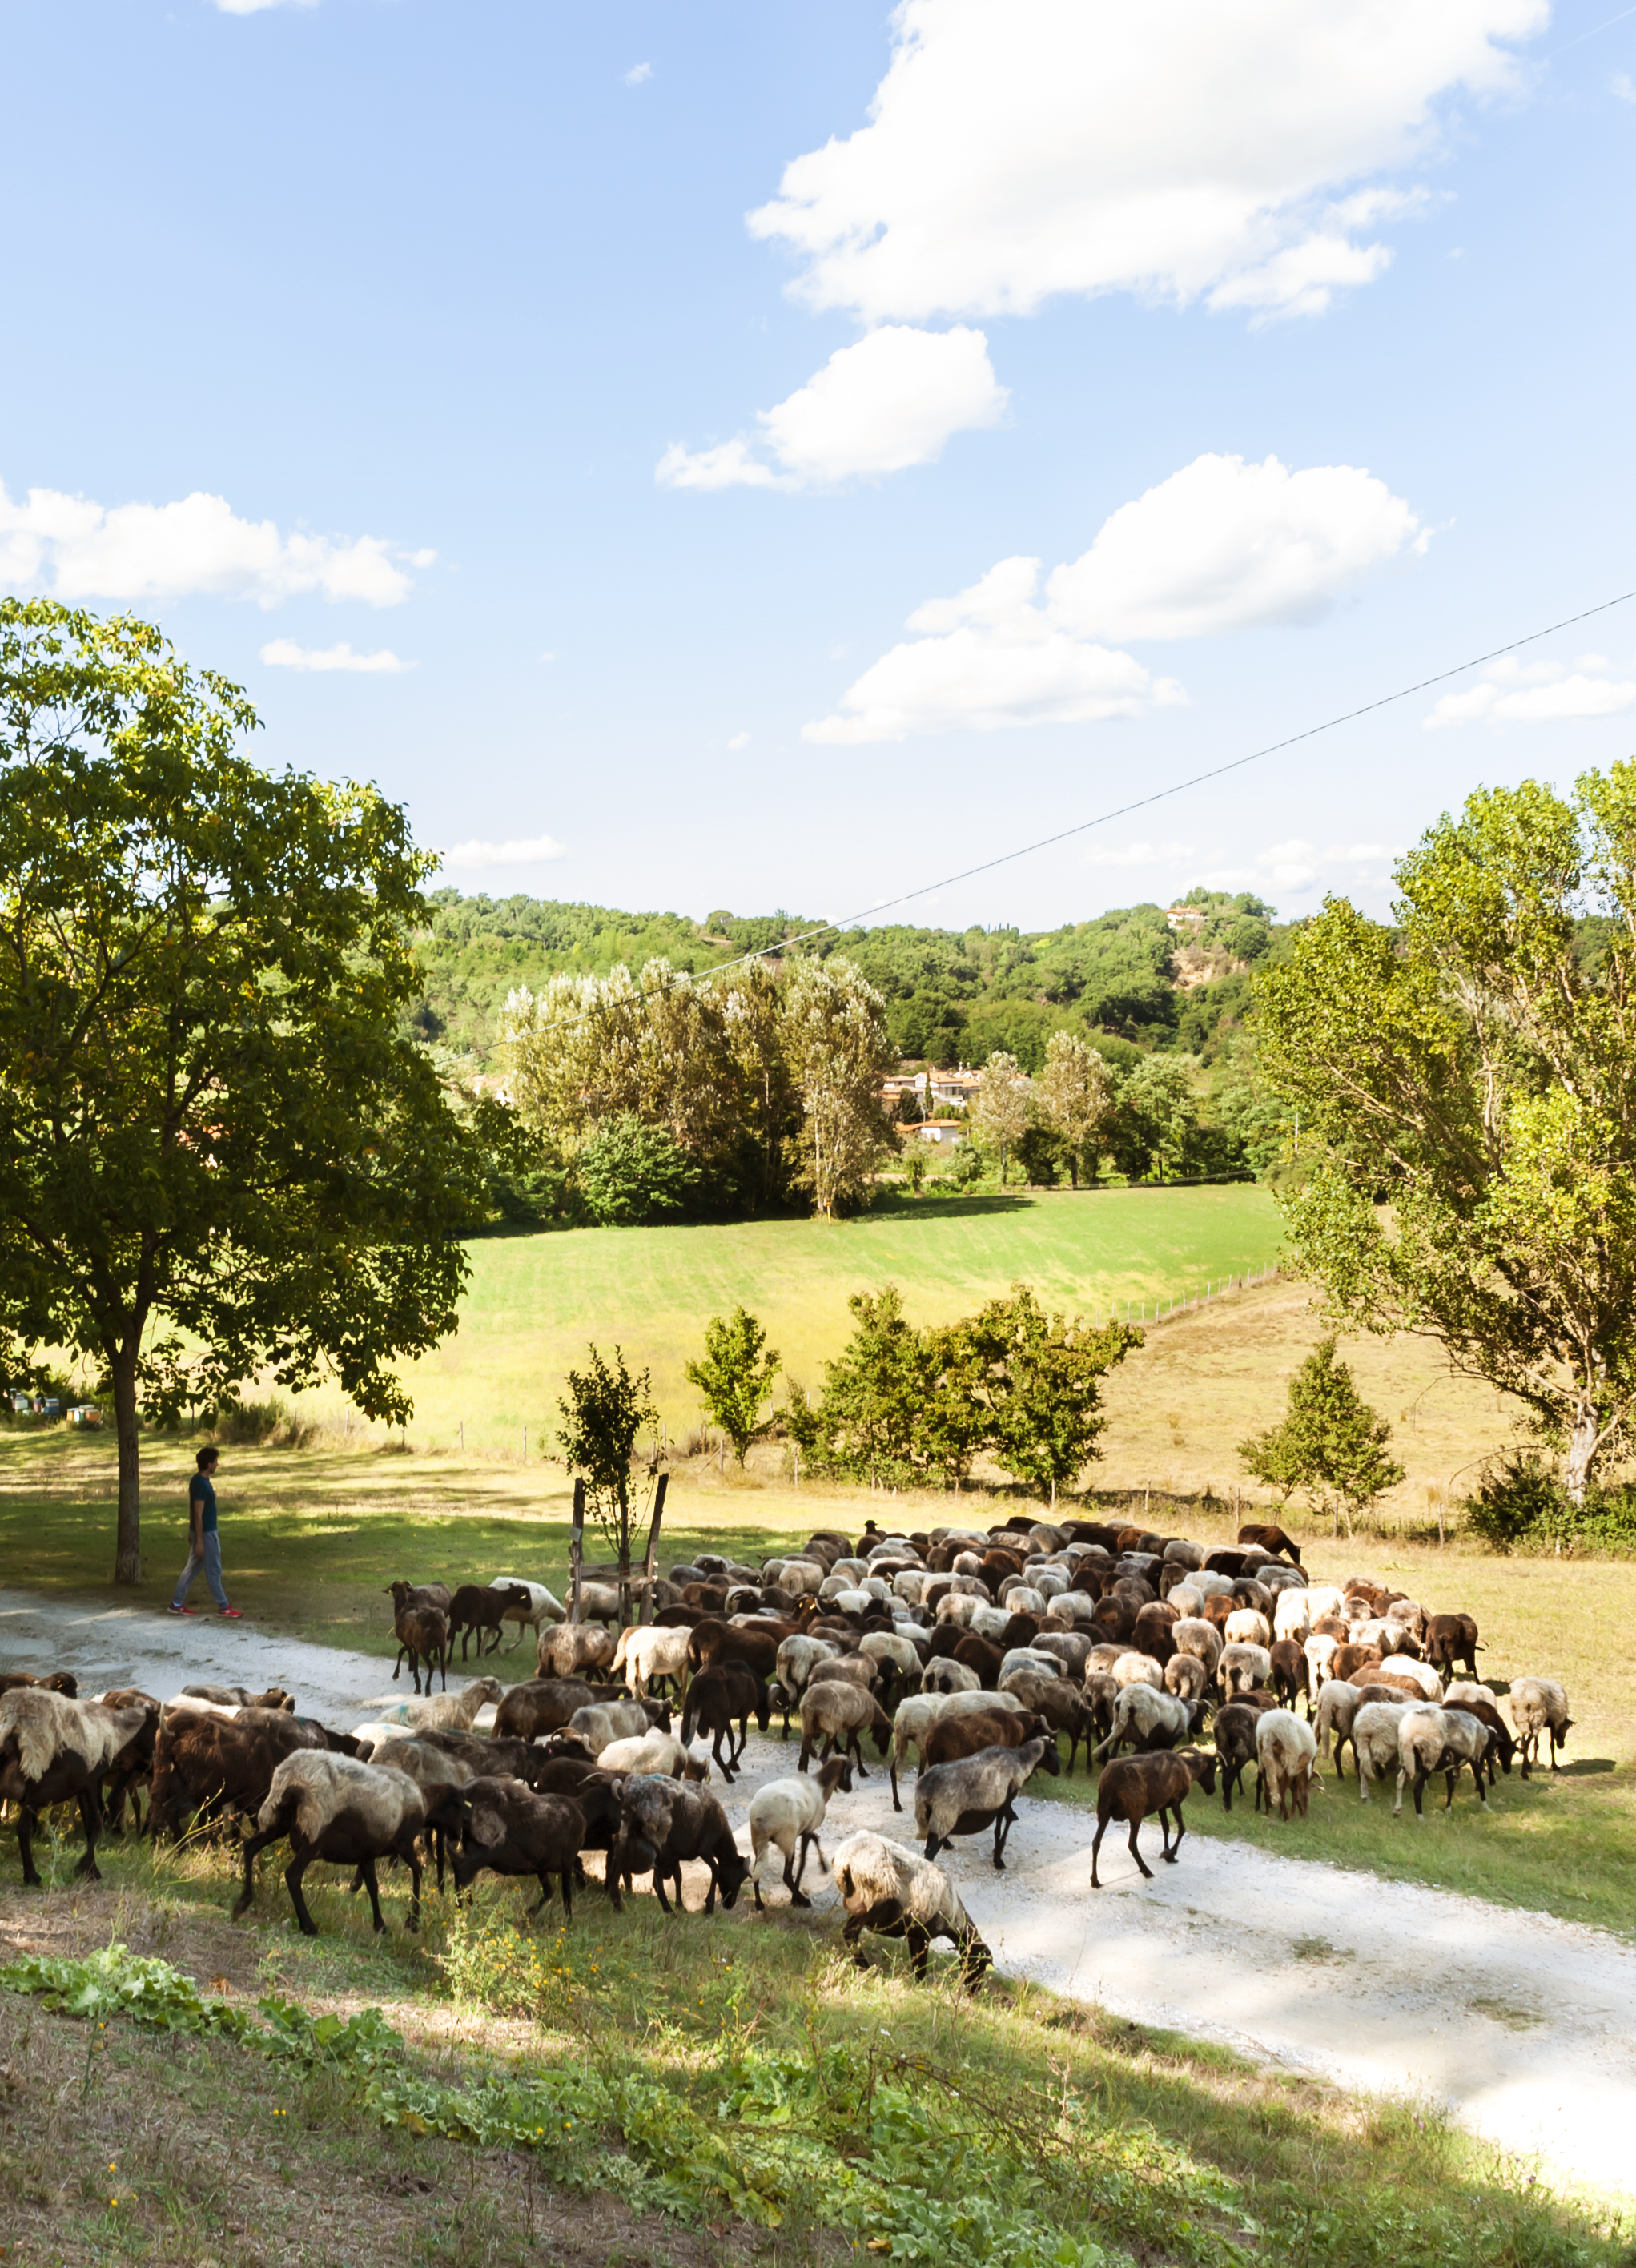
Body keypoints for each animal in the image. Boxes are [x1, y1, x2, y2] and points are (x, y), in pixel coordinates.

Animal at [749, 1759, 853, 1904]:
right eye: (850, 1772)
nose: (850, 1788)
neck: (822, 1787)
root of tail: (760, 1815)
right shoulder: (807, 1830)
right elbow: (803, 1861)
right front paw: (795, 1898)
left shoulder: (805, 1829)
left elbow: (816, 1838)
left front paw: (824, 1866)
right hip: (786, 1840)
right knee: (786, 1876)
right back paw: (803, 1900)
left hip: (758, 1841)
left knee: (756, 1869)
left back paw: (759, 1903)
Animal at [907, 1723, 1057, 1868]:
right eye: (1054, 1749)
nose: (1058, 1771)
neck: (1021, 1760)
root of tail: (925, 1786)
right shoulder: (1005, 1800)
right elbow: (1000, 1827)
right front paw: (998, 1859)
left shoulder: (1003, 1803)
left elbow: (1007, 1820)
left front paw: (998, 1853)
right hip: (944, 1817)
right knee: (930, 1854)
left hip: (929, 1817)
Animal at [1089, 1741, 1216, 1887]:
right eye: (1213, 1768)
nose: (1212, 1790)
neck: (1188, 1768)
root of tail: (1109, 1782)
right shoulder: (1175, 1802)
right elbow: (1182, 1829)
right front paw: (1171, 1854)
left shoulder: (1161, 1805)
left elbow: (1166, 1828)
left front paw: (1167, 1852)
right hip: (1135, 1812)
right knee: (1132, 1844)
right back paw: (1146, 1871)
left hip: (1104, 1811)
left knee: (1096, 1842)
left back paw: (1095, 1881)